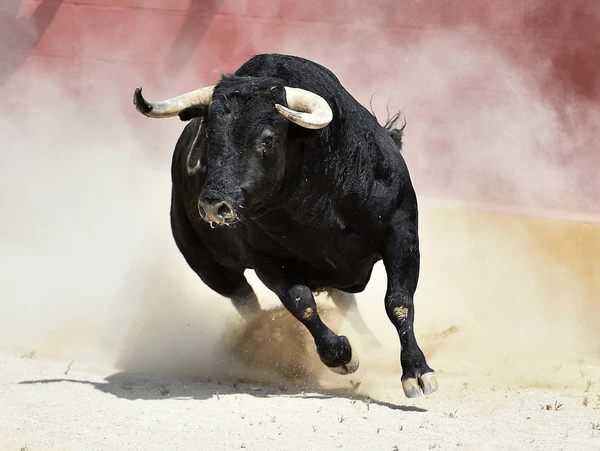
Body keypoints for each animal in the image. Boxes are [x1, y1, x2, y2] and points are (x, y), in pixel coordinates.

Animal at [134, 53, 438, 400]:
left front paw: (417, 371)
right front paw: (341, 356)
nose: (212, 205)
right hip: (212, 269)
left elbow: (398, 302)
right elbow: (301, 304)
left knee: (348, 302)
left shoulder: (402, 232)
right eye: (209, 138)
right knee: (249, 304)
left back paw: (376, 347)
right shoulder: (267, 261)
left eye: (267, 138)